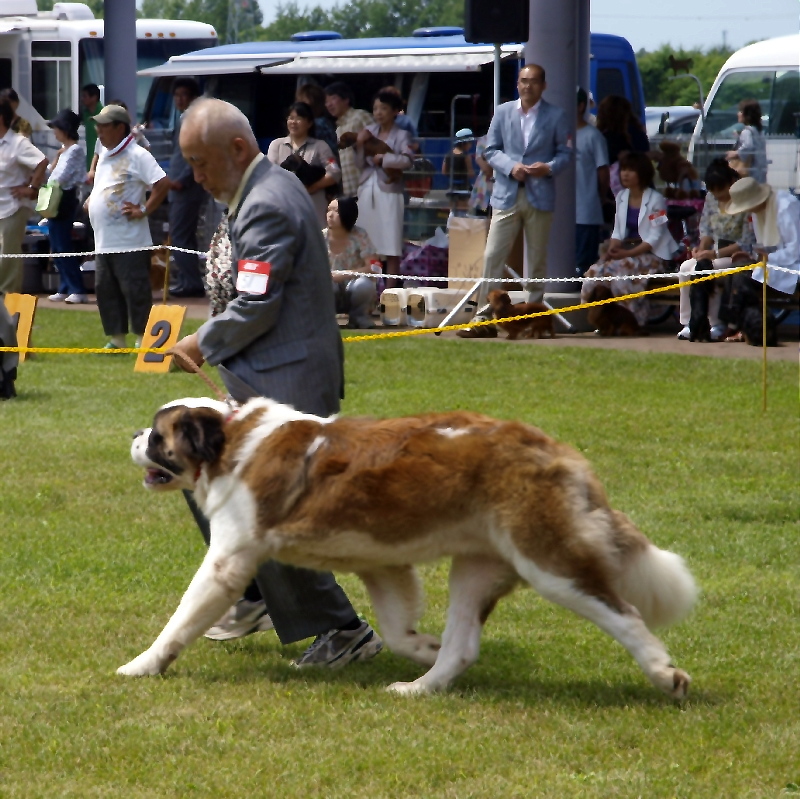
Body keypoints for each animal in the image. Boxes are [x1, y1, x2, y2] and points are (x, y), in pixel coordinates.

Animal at [120, 396, 700, 696]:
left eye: (156, 435)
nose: (132, 436)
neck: (228, 439)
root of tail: (548, 445)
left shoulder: (228, 560)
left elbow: (181, 619)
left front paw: (143, 665)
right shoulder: (383, 563)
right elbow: (398, 630)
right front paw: (421, 647)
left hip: (548, 561)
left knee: (623, 613)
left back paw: (664, 673)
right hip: (475, 567)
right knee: (463, 644)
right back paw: (421, 684)